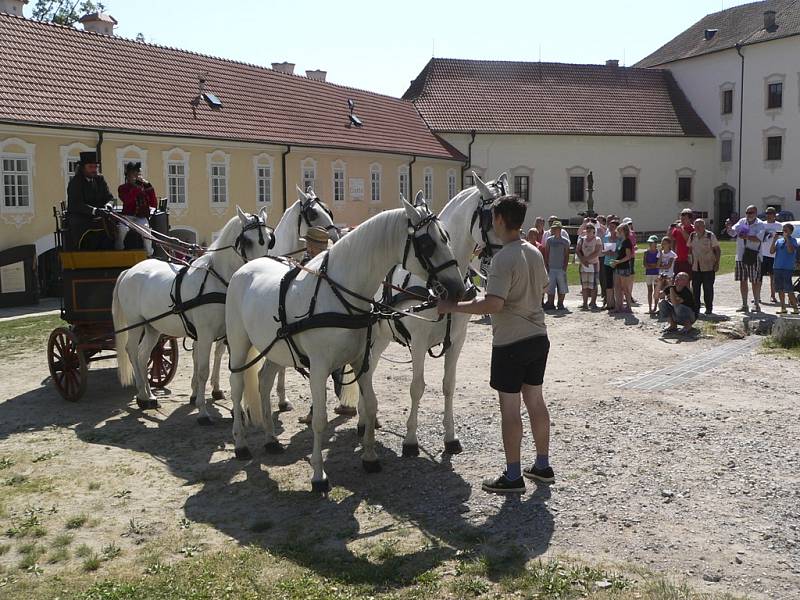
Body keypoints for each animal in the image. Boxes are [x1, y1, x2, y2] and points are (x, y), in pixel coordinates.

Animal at [111, 205, 276, 418]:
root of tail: (129, 271)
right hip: (135, 323)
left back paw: (149, 396)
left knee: (143, 355)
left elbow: (230, 366)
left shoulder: (230, 334)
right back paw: (142, 395)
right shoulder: (205, 334)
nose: (262, 267)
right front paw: (203, 411)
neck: (218, 282)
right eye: (247, 240)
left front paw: (235, 409)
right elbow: (203, 370)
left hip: (152, 327)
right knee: (131, 350)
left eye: (269, 239)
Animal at [198, 188, 342, 410]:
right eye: (313, 214)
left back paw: (215, 388)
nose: (334, 236)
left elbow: (281, 363)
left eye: (329, 210)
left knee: (218, 351)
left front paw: (282, 398)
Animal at [223, 199, 462, 490]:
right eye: (428, 243)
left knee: (264, 380)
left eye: (447, 237)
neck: (337, 295)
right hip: (238, 345)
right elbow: (319, 420)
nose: (460, 289)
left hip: (275, 350)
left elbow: (371, 404)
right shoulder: (318, 369)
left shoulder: (361, 360)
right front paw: (319, 475)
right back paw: (240, 443)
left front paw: (370, 457)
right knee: (236, 386)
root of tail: (245, 268)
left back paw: (270, 439)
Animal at [368, 172, 506, 454]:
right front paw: (410, 440)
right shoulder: (419, 341)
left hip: (382, 336)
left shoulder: (457, 339)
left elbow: (448, 385)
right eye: (492, 218)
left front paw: (451, 437)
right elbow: (417, 388)